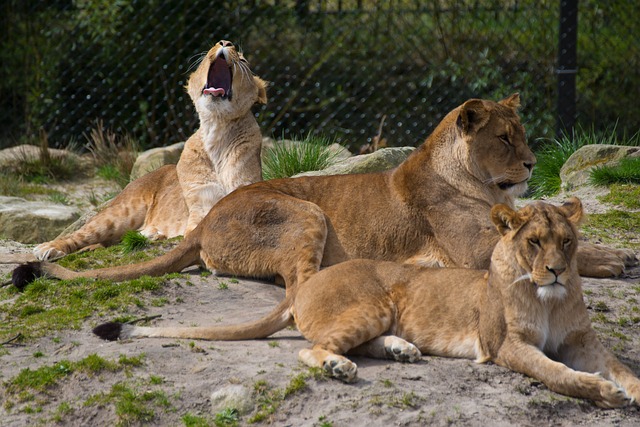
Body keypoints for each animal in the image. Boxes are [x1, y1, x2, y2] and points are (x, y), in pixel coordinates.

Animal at [12, 93, 636, 290]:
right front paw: (614, 259)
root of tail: (206, 218)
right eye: (505, 138)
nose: (531, 162)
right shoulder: (477, 250)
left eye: (522, 135)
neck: (487, 187)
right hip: (307, 211)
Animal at [91, 199, 640, 410]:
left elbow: (623, 368)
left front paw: (624, 387)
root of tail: (301, 289)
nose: (556, 270)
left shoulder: (583, 341)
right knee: (311, 348)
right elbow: (555, 372)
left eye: (567, 242)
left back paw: (401, 350)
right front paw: (602, 392)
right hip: (371, 304)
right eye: (534, 243)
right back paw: (339, 367)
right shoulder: (505, 345)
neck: (551, 299)